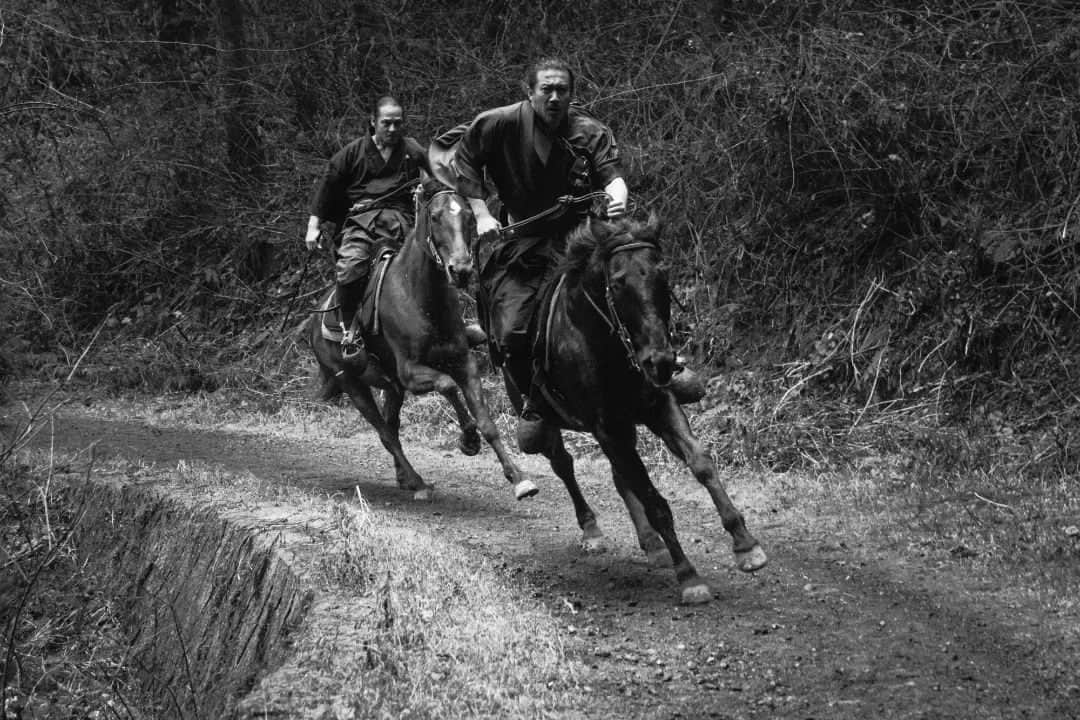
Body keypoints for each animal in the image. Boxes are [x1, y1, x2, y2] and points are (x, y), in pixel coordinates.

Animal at [308, 181, 535, 500]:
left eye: (469, 217)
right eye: (436, 217)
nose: (461, 270)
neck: (421, 297)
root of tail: (314, 320)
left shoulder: (464, 363)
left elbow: (487, 422)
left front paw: (519, 478)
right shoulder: (411, 373)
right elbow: (447, 385)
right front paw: (468, 440)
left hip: (392, 388)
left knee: (392, 427)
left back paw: (405, 478)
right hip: (352, 384)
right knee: (385, 433)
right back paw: (417, 482)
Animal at [494, 212, 764, 604]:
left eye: (662, 274)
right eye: (618, 283)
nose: (661, 362)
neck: (606, 343)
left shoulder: (659, 406)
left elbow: (701, 463)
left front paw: (745, 544)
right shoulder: (607, 427)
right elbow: (654, 500)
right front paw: (689, 576)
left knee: (619, 476)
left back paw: (651, 542)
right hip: (549, 420)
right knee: (564, 466)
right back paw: (592, 530)